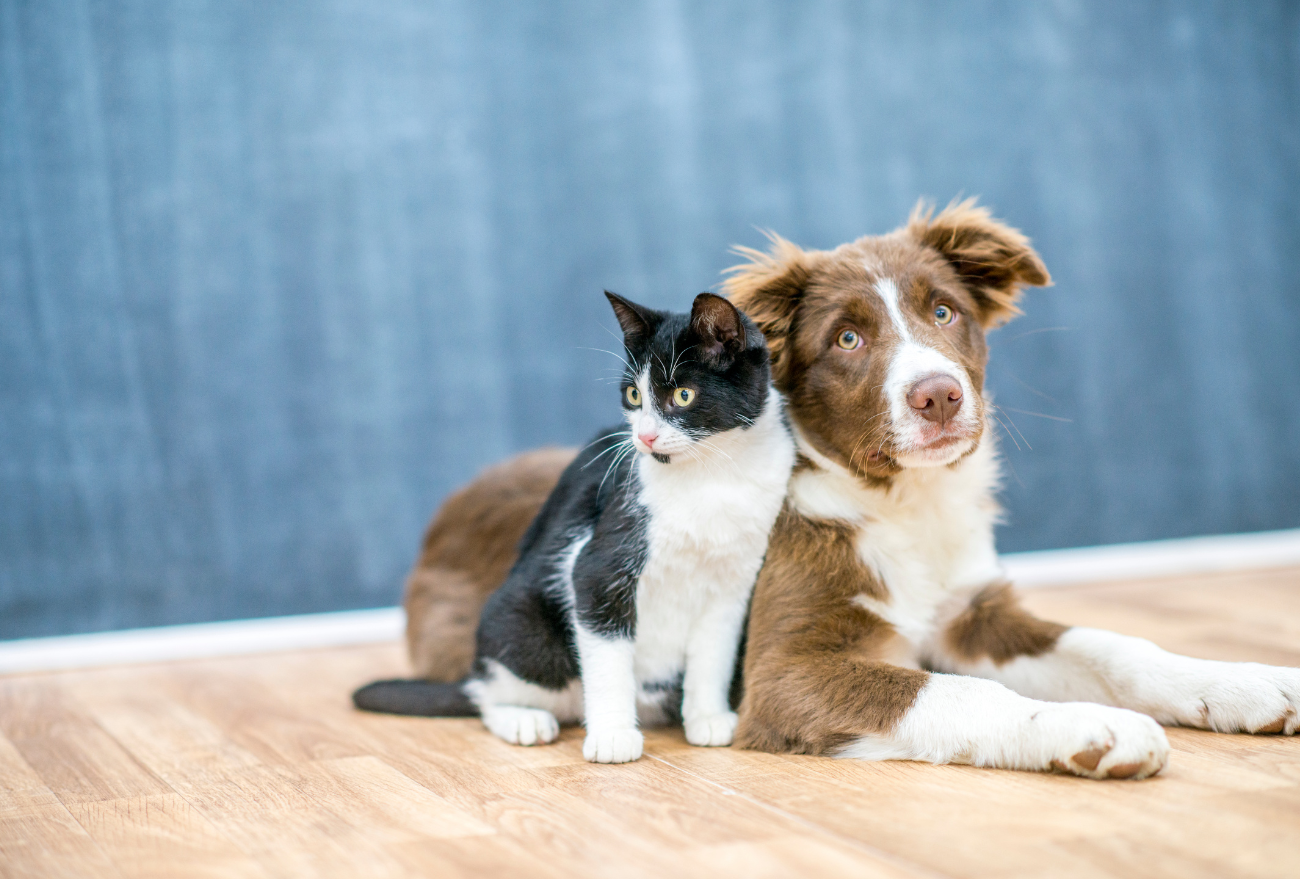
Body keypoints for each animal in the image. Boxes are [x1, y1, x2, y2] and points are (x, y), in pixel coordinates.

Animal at [358, 288, 800, 764]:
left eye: (683, 395)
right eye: (633, 395)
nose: (644, 437)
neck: (713, 476)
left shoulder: (734, 583)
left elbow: (714, 654)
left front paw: (709, 718)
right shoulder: (598, 565)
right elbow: (607, 655)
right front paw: (612, 736)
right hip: (524, 630)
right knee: (488, 692)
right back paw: (523, 719)